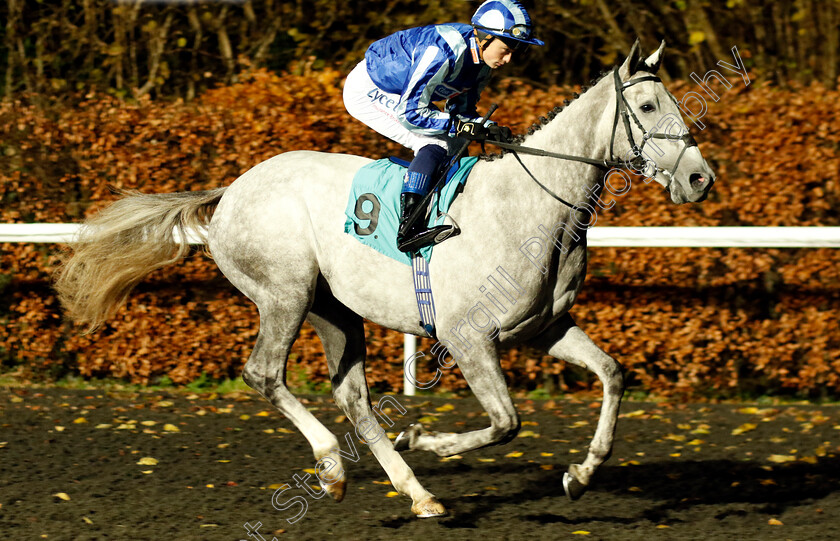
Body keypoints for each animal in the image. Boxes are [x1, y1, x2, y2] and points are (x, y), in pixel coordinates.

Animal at [57, 41, 716, 516]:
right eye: (649, 107)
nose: (700, 179)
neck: (531, 206)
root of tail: (231, 191)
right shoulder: (468, 337)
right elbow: (506, 422)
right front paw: (423, 440)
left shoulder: (544, 328)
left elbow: (612, 374)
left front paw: (581, 473)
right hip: (285, 293)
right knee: (265, 375)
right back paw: (333, 467)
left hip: (335, 310)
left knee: (353, 397)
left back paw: (416, 494)